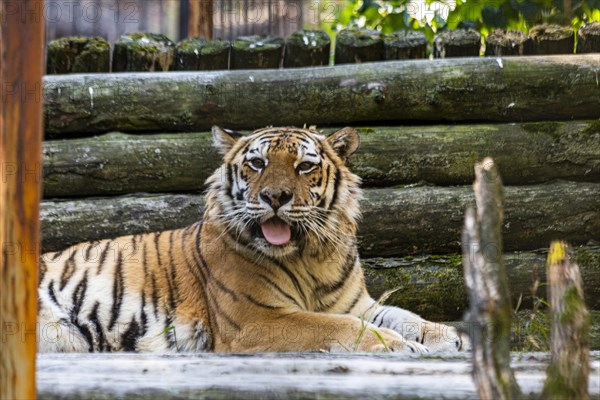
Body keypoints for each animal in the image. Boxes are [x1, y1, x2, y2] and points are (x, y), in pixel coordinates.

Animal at [37, 126, 472, 354]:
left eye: (305, 166)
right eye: (257, 163)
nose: (275, 197)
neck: (311, 254)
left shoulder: (356, 303)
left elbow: (402, 315)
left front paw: (446, 335)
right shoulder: (257, 320)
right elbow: (339, 327)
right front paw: (399, 346)